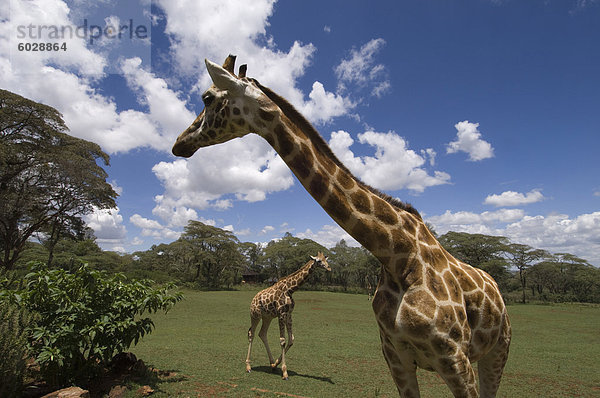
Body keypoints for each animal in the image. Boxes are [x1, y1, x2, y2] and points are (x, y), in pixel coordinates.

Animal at [245, 252, 332, 380]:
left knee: (262, 333)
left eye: (325, 259)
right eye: (319, 261)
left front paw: (276, 364)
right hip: (255, 315)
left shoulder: (289, 314)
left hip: (267, 317)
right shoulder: (281, 313)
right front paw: (285, 372)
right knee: (252, 333)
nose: (329, 268)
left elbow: (291, 340)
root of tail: (253, 299)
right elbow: (282, 340)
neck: (290, 289)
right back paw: (248, 366)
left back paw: (271, 363)